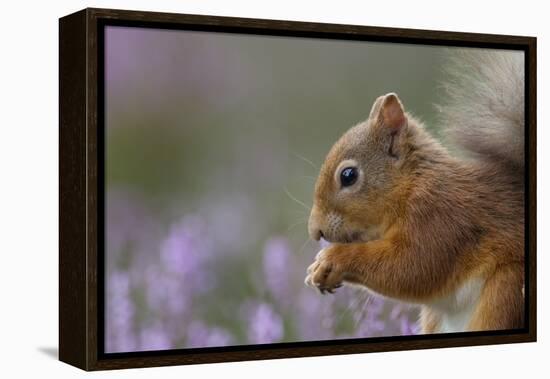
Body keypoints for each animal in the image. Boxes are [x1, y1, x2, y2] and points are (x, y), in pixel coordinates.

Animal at [306, 52, 528, 334]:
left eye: (348, 175)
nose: (315, 231)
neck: (410, 187)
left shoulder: (442, 217)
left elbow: (413, 267)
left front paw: (332, 259)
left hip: (505, 290)